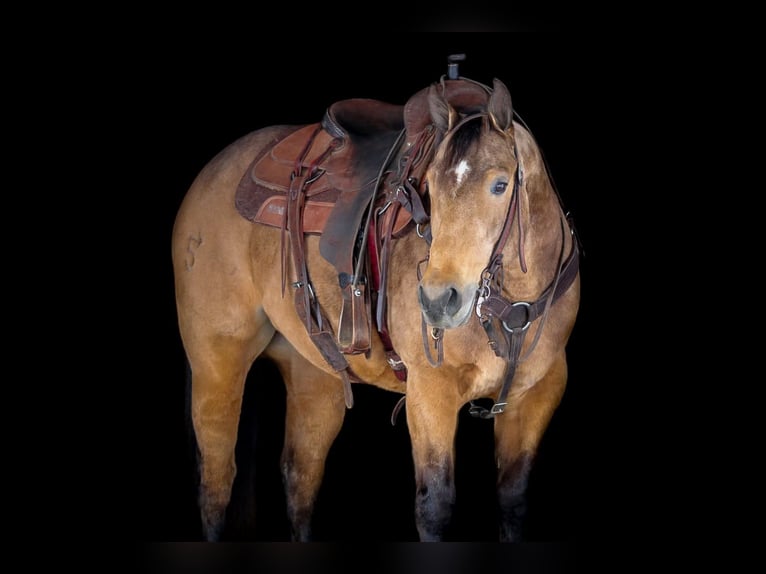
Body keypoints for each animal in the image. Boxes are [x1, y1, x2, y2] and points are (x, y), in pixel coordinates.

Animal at [172, 60, 584, 544]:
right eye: (430, 189)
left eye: (500, 185)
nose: (439, 300)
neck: (512, 305)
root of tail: (211, 173)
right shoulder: (430, 393)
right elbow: (434, 506)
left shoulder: (537, 395)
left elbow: (513, 502)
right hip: (217, 360)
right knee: (218, 479)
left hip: (314, 373)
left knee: (300, 477)